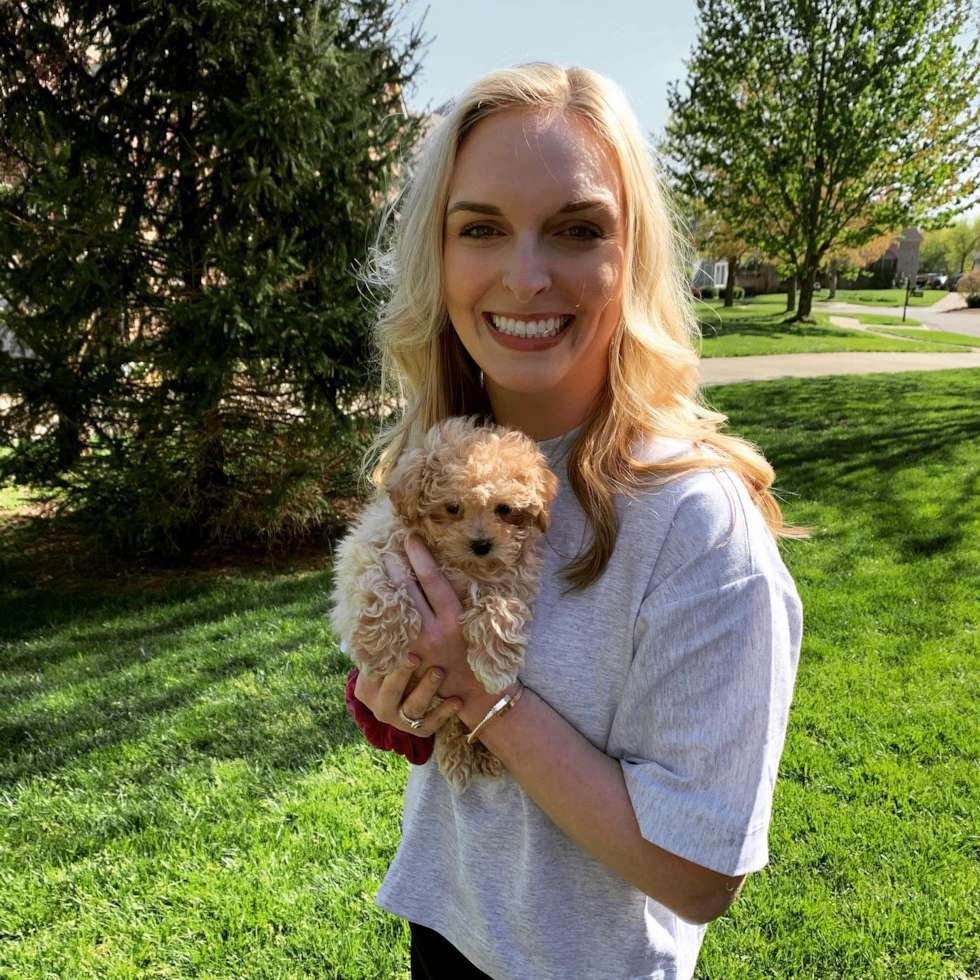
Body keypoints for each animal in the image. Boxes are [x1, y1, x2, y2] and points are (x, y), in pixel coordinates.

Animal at [332, 412, 556, 788]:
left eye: (504, 508)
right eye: (452, 508)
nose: (482, 545)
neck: (455, 562)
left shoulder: (514, 577)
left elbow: (500, 606)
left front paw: (495, 666)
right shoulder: (371, 550)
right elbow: (380, 588)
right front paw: (380, 650)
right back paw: (459, 756)